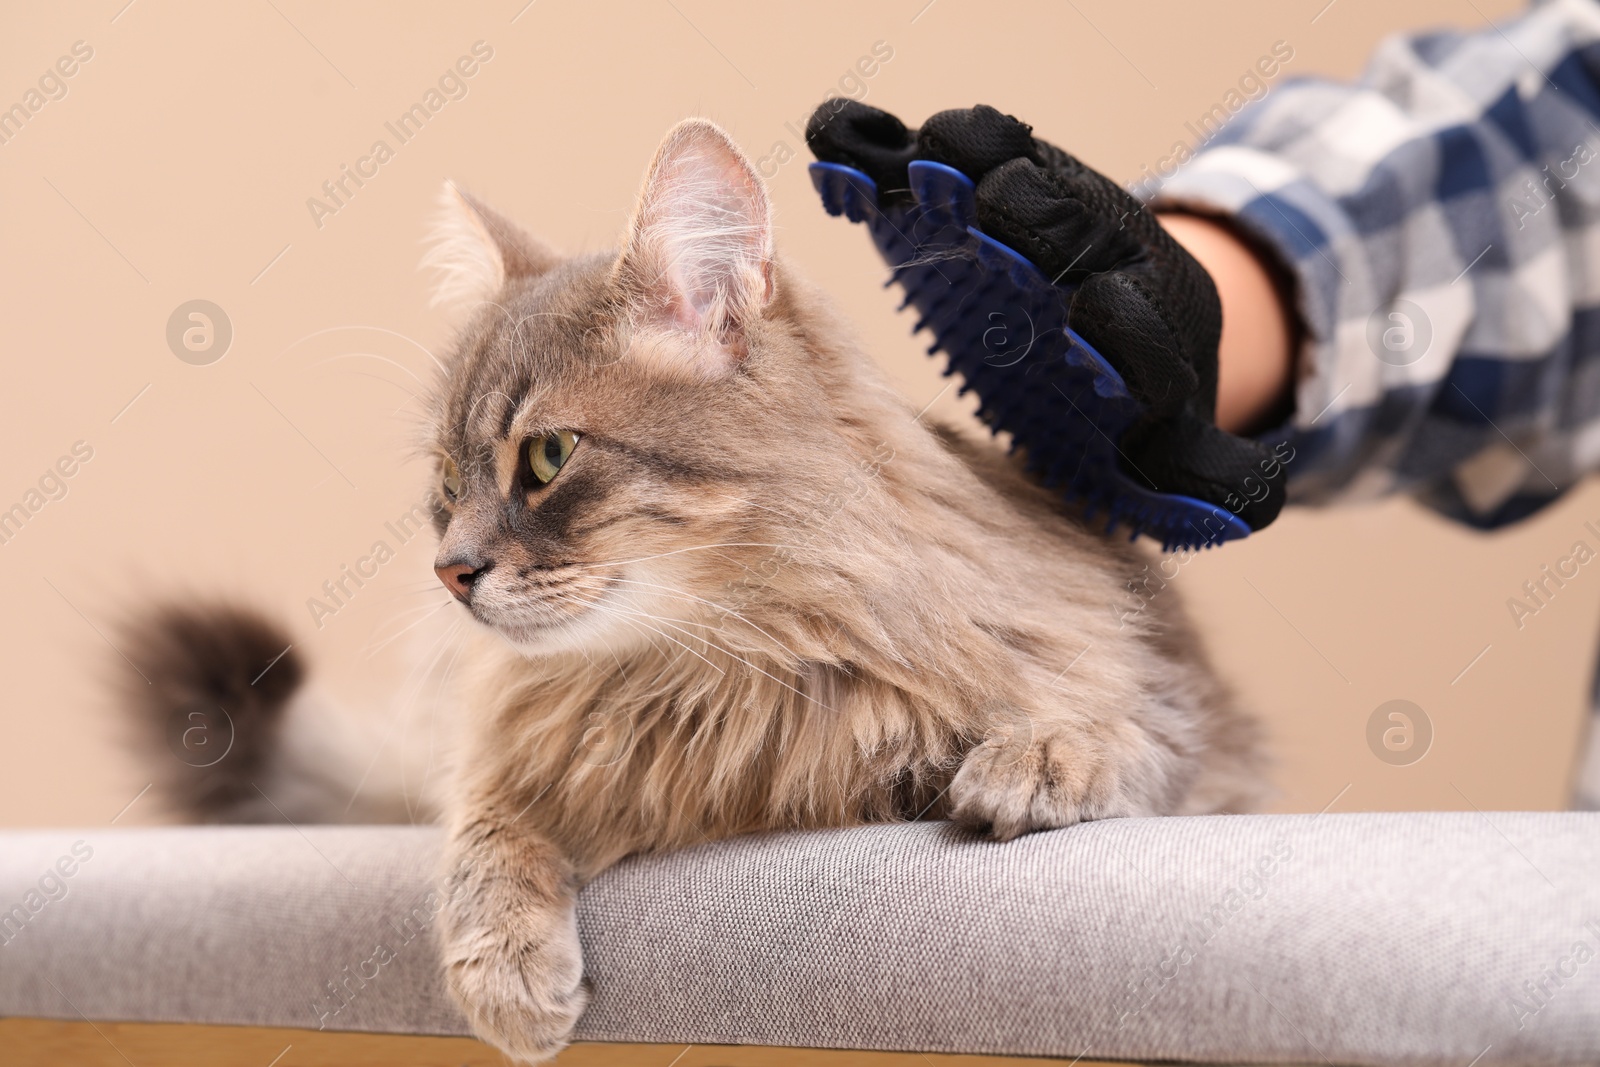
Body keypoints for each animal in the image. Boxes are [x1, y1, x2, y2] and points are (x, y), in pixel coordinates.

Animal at [116, 120, 1260, 1062]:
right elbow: (481, 840)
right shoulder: (506, 758)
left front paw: (1039, 757)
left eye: (547, 456)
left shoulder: (1188, 727)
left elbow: (1113, 730)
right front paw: (510, 975)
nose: (451, 571)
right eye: (444, 484)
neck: (713, 665)